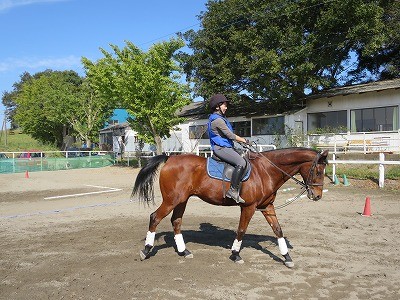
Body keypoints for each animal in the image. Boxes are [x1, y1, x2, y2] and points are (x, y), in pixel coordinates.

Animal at [131, 148, 328, 268]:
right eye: (318, 171)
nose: (317, 196)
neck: (265, 171)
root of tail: (170, 158)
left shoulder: (267, 206)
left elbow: (278, 230)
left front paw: (287, 258)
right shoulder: (248, 207)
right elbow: (241, 230)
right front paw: (235, 254)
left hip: (181, 200)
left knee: (176, 221)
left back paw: (184, 251)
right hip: (172, 200)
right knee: (155, 217)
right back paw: (146, 250)